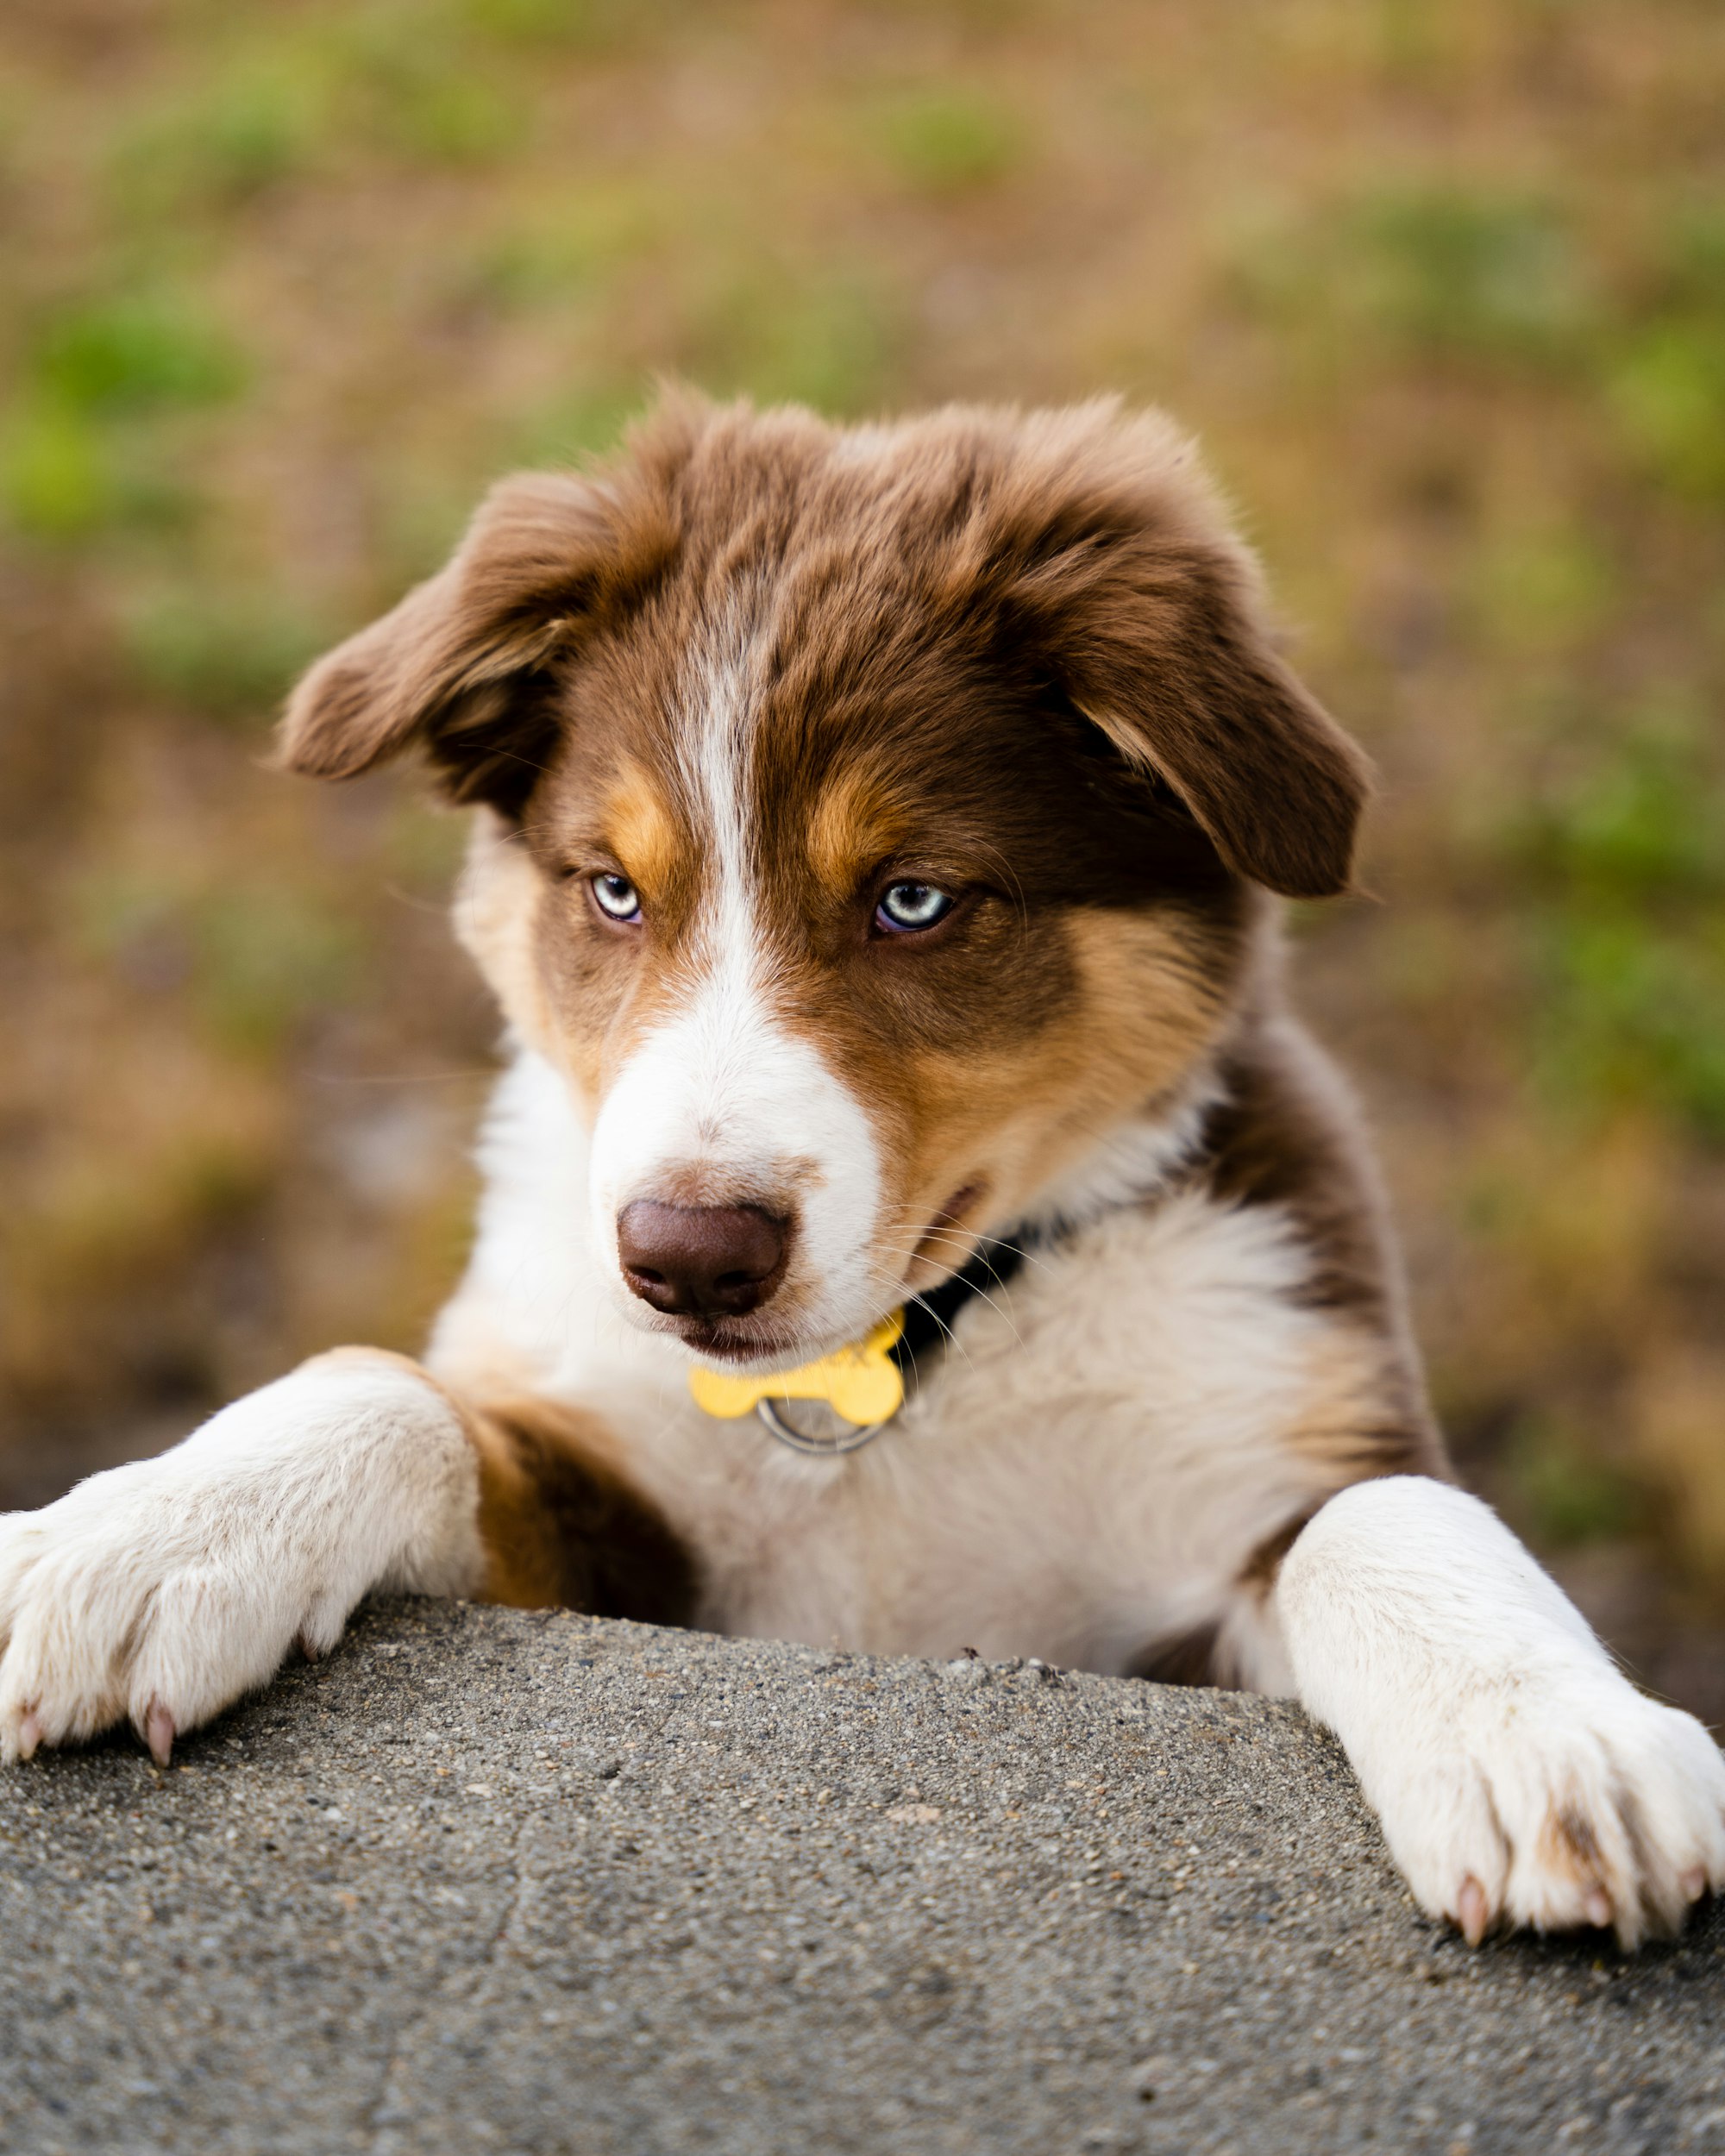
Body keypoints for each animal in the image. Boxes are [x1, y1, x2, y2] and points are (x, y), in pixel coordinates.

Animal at [3, 392, 1725, 1958]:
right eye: (613, 892)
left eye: (915, 900)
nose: (687, 1260)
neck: (887, 1389)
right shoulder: (633, 1539)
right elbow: (396, 1392)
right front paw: (135, 1535)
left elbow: (1382, 1512)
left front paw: (1543, 1739)